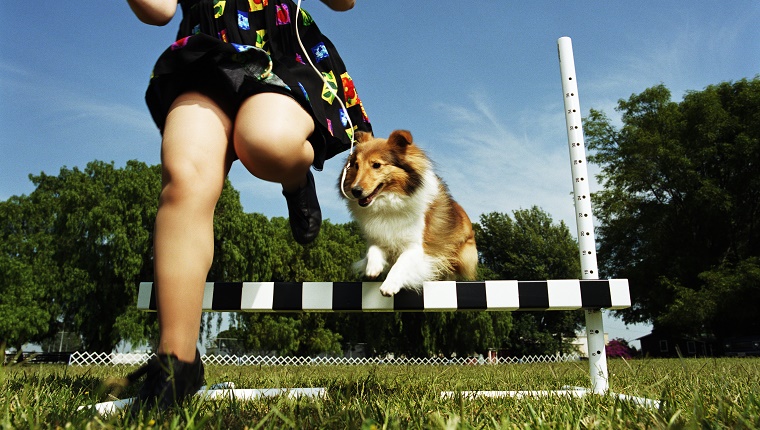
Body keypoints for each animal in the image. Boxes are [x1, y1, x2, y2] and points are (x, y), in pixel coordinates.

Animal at [340, 128, 478, 296]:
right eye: (356, 165)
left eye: (376, 165)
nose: (356, 191)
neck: (389, 202)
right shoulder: (379, 236)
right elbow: (373, 250)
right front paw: (373, 268)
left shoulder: (416, 247)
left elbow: (401, 263)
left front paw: (390, 285)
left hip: (463, 255)